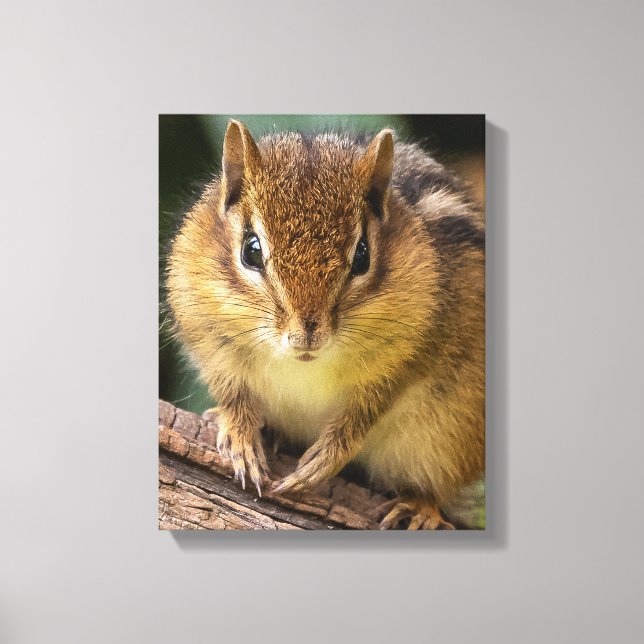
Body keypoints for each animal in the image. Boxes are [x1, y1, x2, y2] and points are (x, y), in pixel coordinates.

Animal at [166, 119, 485, 529]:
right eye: (251, 250)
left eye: (362, 256)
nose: (306, 334)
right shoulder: (203, 326)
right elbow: (231, 388)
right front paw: (240, 434)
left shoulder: (419, 345)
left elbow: (371, 405)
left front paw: (329, 454)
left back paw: (420, 508)